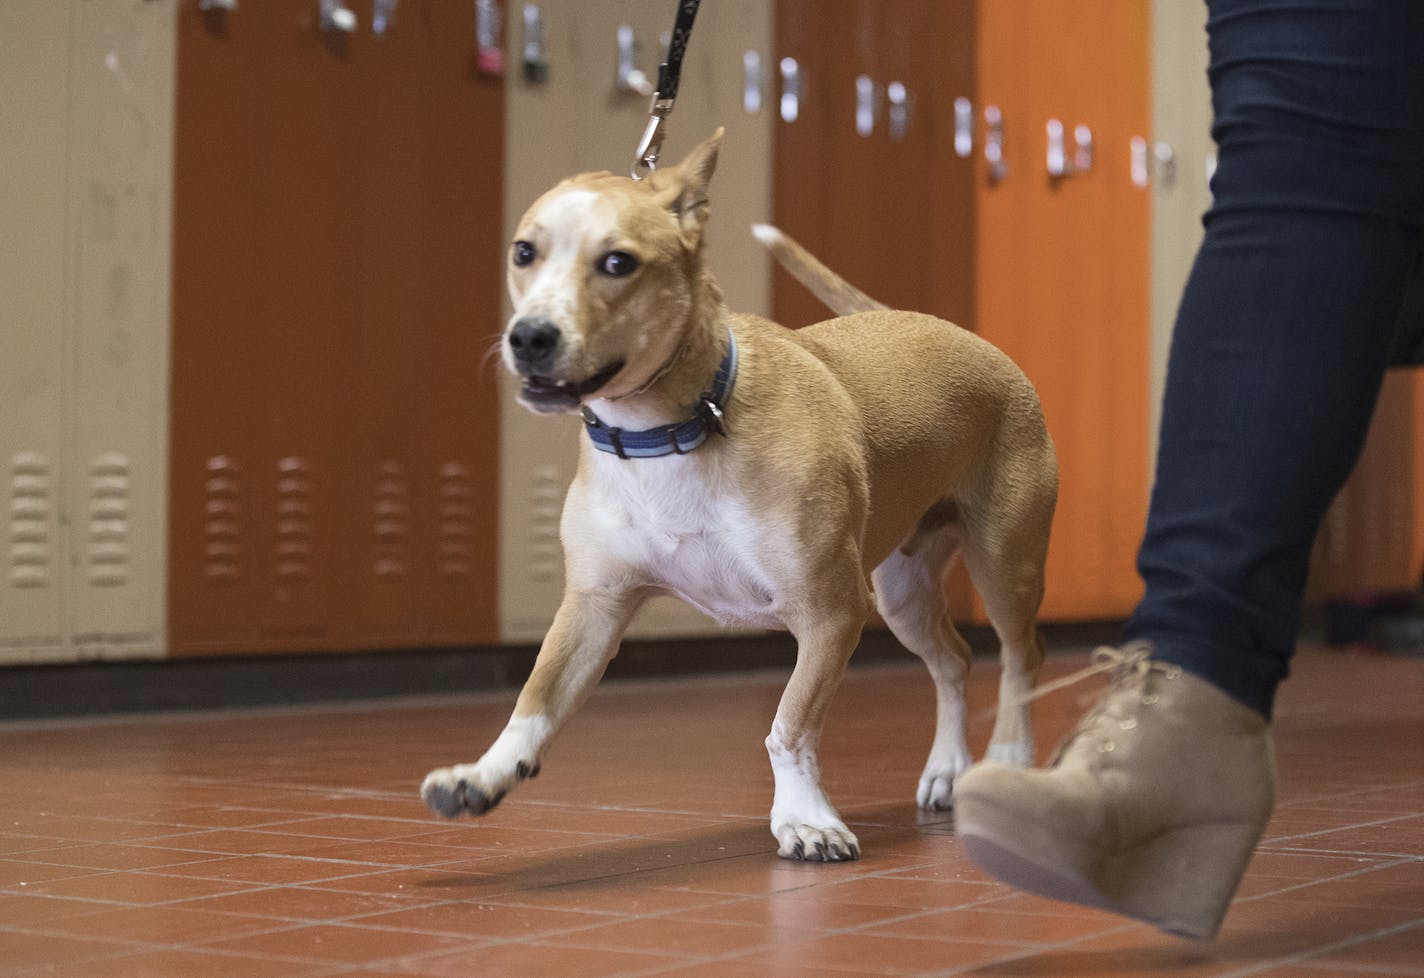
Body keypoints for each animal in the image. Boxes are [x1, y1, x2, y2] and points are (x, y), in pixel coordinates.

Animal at [421, 131, 1059, 865]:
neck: (674, 431)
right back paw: (949, 768)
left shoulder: (830, 612)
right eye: (524, 252)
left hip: (1005, 567)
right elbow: (535, 700)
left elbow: (789, 725)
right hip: (904, 595)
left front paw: (804, 816)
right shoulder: (593, 606)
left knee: (1020, 658)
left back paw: (1008, 757)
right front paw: (485, 773)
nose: (529, 337)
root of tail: (950, 331)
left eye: (618, 262)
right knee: (954, 662)